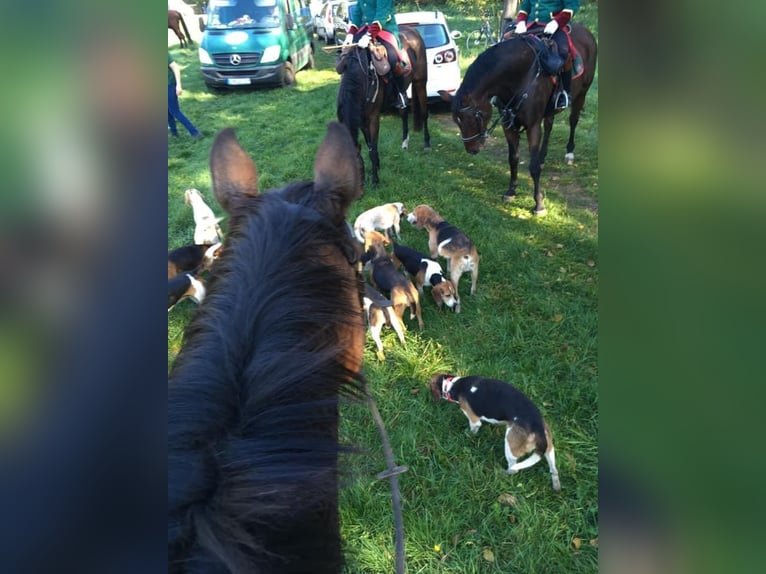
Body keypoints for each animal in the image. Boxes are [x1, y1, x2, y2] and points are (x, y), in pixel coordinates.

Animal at [338, 26, 432, 187]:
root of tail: (413, 30)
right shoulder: (362, 119)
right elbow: (369, 144)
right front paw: (376, 166)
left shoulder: (373, 118)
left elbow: (373, 148)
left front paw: (375, 180)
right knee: (403, 112)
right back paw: (405, 143)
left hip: (420, 82)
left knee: (424, 113)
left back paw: (426, 143)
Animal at [428, 376, 560, 492]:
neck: (455, 384)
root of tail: (537, 427)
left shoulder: (474, 420)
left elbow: (472, 430)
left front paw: (467, 437)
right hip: (549, 448)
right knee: (554, 469)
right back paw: (556, 485)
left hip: (510, 446)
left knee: (513, 468)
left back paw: (502, 473)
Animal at [440, 23, 596, 218]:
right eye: (457, 121)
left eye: (477, 115)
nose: (471, 149)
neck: (518, 76)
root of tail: (585, 31)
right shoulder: (508, 125)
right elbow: (513, 159)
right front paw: (511, 191)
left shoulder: (533, 126)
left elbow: (533, 167)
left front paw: (539, 204)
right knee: (549, 125)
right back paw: (543, 155)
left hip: (582, 93)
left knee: (573, 121)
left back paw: (569, 152)